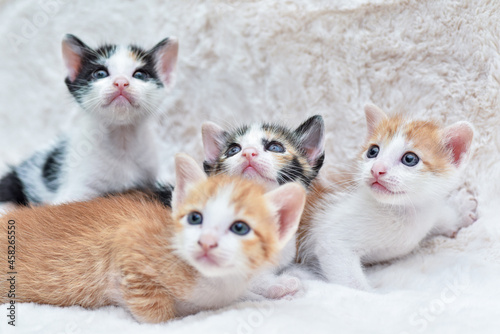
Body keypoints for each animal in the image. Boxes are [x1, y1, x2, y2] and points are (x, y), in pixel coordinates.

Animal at [296, 105, 476, 290]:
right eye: (373, 151)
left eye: (409, 159)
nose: (376, 169)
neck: (399, 212)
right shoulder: (333, 240)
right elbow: (354, 283)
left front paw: (459, 211)